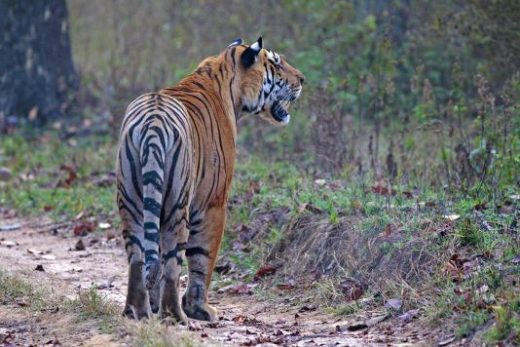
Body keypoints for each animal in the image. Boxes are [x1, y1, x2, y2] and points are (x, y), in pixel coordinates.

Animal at [117, 37, 304, 324]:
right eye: (276, 62)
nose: (302, 79)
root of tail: (154, 122)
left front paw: (155, 304)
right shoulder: (213, 202)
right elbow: (203, 258)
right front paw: (200, 309)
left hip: (132, 202)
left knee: (138, 258)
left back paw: (136, 312)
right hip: (177, 205)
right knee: (172, 262)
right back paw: (176, 315)